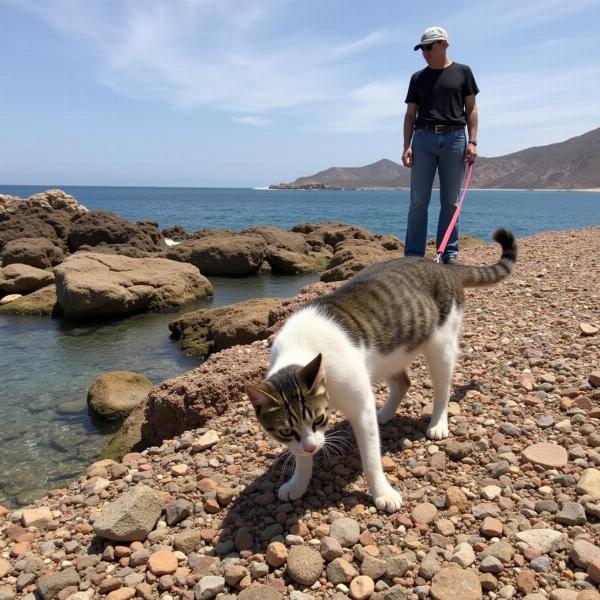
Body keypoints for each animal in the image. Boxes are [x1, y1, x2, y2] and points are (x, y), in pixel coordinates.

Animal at [244, 227, 516, 512]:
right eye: (286, 431)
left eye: (319, 419)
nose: (311, 448)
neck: (303, 350)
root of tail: (442, 266)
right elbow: (299, 455)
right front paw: (298, 482)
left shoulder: (358, 407)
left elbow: (371, 458)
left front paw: (382, 493)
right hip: (388, 355)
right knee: (403, 382)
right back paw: (384, 413)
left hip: (440, 345)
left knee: (442, 388)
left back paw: (438, 422)